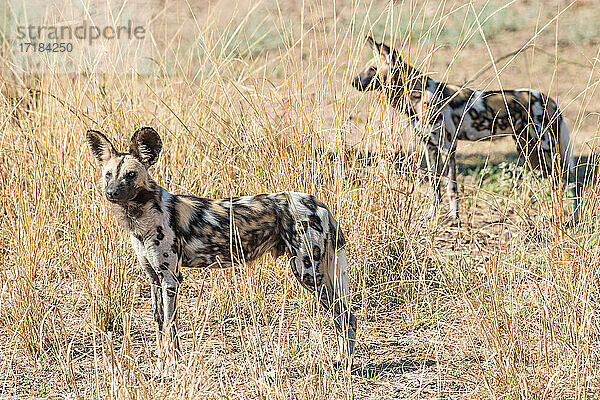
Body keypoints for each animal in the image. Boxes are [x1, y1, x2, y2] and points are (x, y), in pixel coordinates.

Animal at [85, 127, 356, 368]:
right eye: (108, 174)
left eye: (131, 175)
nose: (112, 192)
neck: (140, 218)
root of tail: (317, 203)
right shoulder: (154, 278)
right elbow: (160, 323)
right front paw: (162, 364)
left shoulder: (171, 279)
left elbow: (171, 326)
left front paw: (173, 366)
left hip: (308, 273)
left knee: (345, 316)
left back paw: (345, 363)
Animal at [352, 35, 580, 225]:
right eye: (367, 67)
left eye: (373, 69)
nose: (353, 82)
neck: (417, 95)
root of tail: (549, 100)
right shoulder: (430, 148)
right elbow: (434, 188)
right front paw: (432, 216)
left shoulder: (447, 147)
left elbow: (451, 188)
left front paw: (454, 218)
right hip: (529, 152)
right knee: (555, 183)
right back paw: (551, 215)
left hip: (545, 149)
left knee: (571, 182)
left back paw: (573, 218)